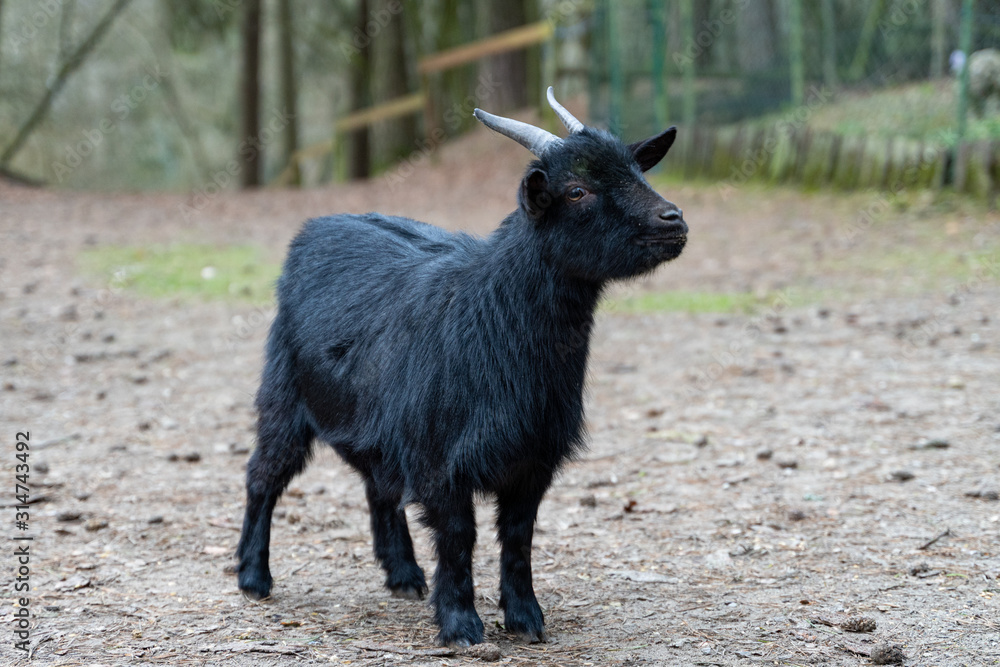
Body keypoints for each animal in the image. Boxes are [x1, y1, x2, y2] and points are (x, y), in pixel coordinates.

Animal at [236, 88, 688, 647]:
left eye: (636, 169)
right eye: (577, 190)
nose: (673, 220)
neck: (491, 317)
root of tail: (320, 225)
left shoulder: (532, 457)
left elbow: (518, 538)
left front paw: (526, 618)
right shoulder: (439, 458)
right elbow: (458, 535)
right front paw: (460, 623)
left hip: (374, 419)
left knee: (378, 485)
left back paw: (403, 574)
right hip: (285, 395)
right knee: (264, 475)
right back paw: (253, 577)